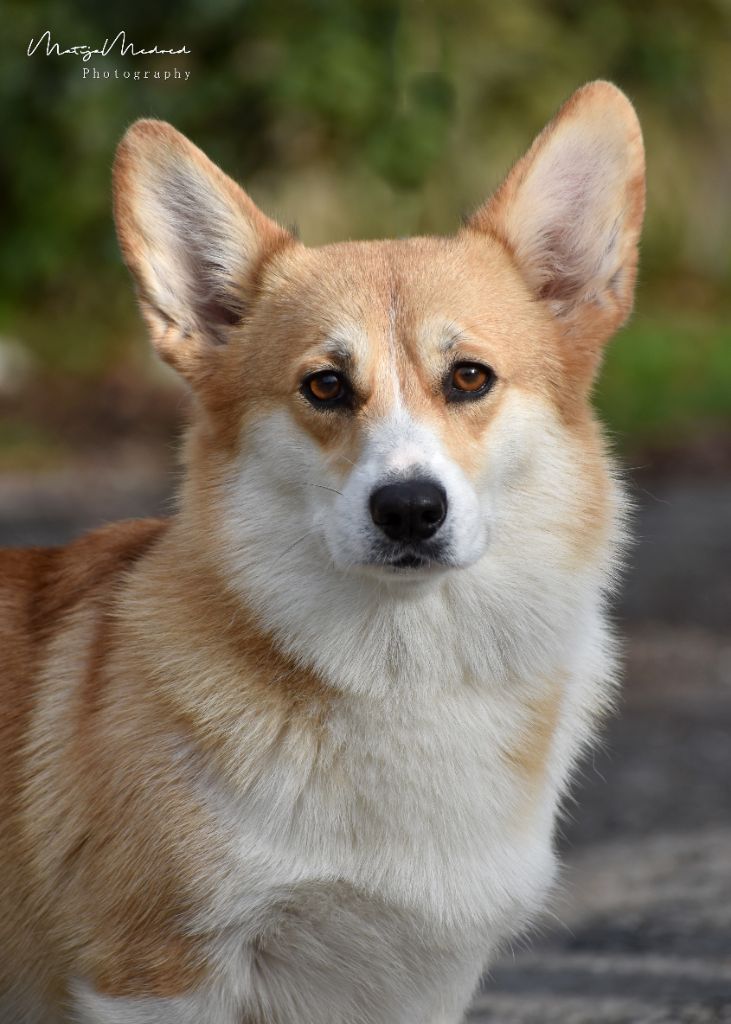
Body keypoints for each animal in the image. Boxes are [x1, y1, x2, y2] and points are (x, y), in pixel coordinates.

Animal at [0, 81, 638, 1024]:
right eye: (325, 386)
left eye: (470, 377)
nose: (409, 509)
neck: (406, 671)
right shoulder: (156, 976)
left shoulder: (418, 986)